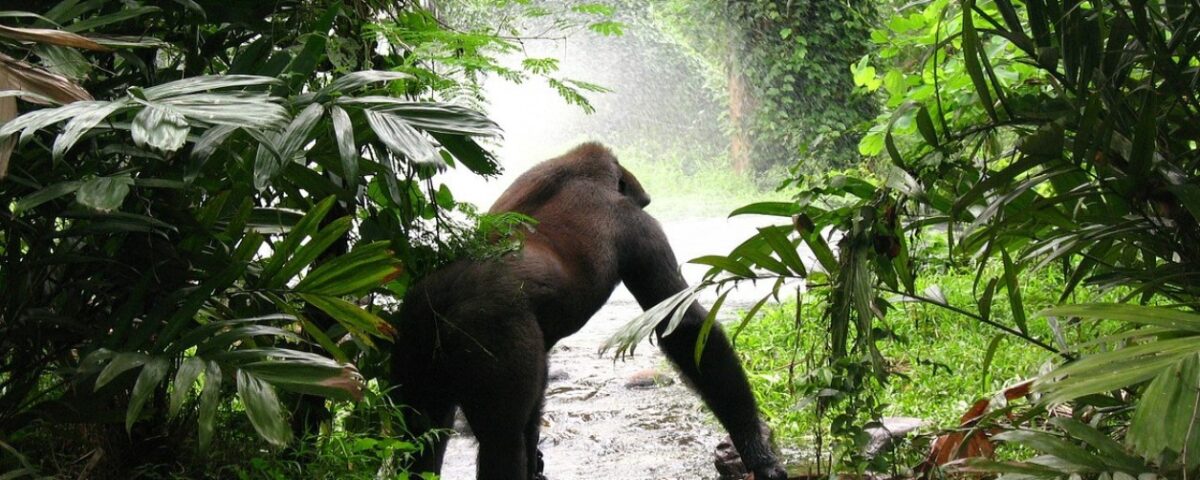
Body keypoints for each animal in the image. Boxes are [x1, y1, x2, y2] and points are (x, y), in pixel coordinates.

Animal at [390, 143, 787, 480]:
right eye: (642, 203)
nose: (647, 200)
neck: (580, 169)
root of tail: (442, 299)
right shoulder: (638, 226)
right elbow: (685, 326)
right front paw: (756, 450)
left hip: (411, 332)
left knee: (420, 433)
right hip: (487, 329)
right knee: (502, 441)